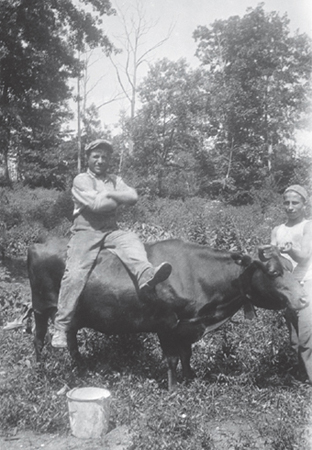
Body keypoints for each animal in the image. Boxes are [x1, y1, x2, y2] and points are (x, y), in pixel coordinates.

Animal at [28, 239, 306, 390]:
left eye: (290, 266)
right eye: (273, 272)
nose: (303, 299)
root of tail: (40, 244)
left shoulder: (188, 325)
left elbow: (186, 354)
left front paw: (190, 379)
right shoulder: (166, 324)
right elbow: (172, 359)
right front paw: (173, 389)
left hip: (71, 314)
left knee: (71, 338)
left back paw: (81, 369)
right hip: (41, 307)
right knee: (39, 338)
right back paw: (40, 370)